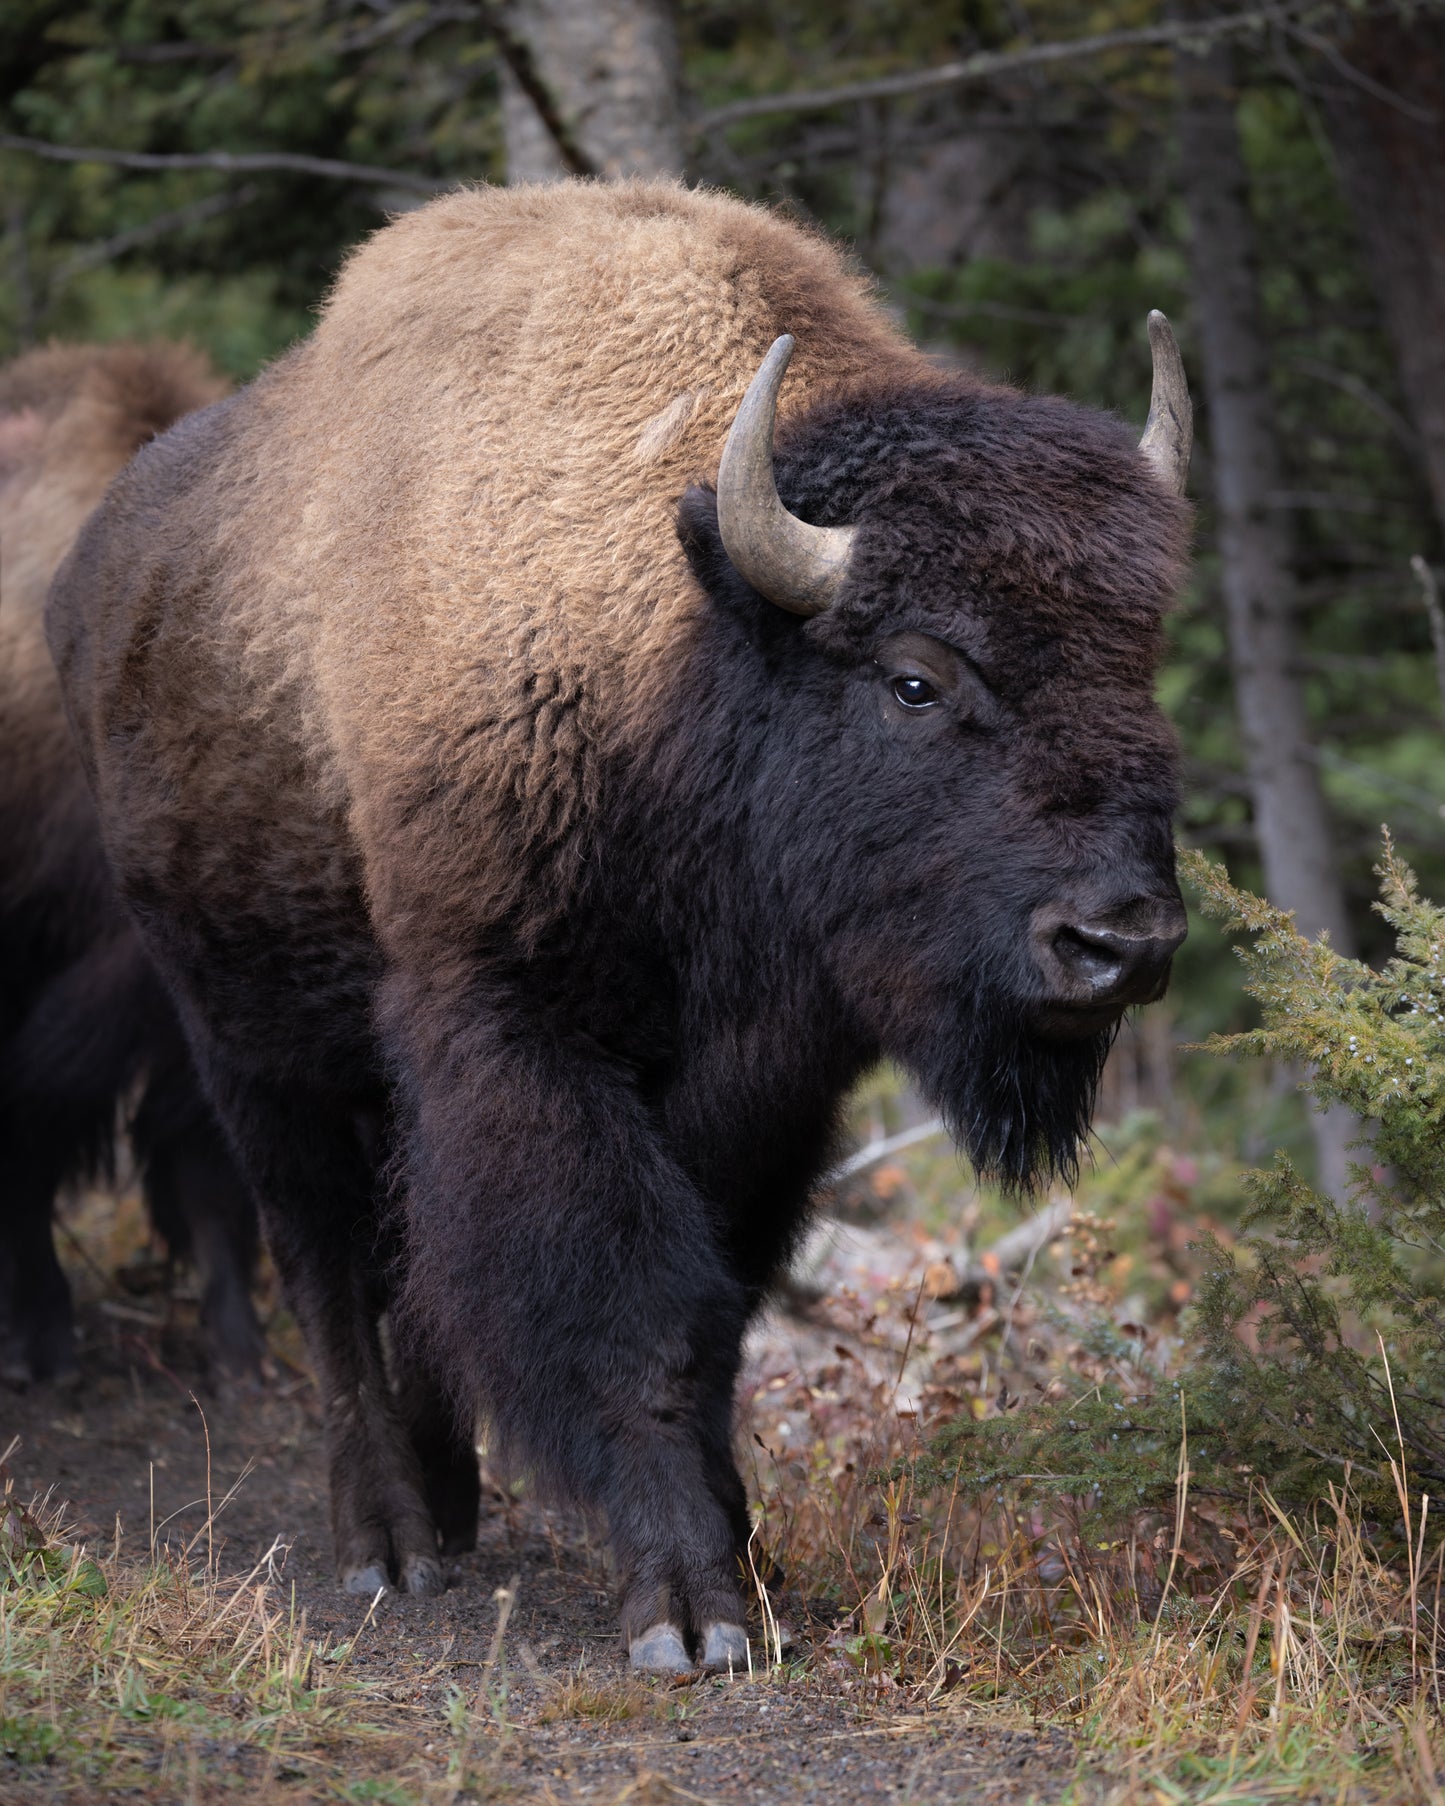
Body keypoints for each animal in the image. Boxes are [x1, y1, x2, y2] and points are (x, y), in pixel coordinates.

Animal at [49, 181, 1191, 1669]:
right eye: (914, 677)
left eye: (1141, 665)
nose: (1121, 942)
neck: (678, 647)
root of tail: (97, 578)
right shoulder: (518, 1038)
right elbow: (627, 1310)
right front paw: (688, 1611)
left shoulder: (768, 1091)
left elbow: (716, 1319)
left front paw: (745, 1560)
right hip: (248, 1040)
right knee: (327, 1265)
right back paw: (386, 1542)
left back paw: (450, 1506)